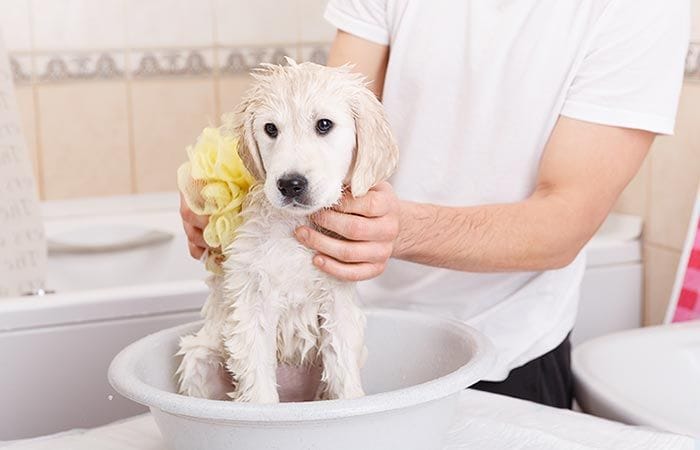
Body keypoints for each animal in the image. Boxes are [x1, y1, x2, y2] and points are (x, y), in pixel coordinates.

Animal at [175, 60, 400, 404]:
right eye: (271, 129)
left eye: (324, 125)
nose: (290, 184)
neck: (295, 226)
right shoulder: (252, 303)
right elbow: (258, 385)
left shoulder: (338, 302)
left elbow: (344, 372)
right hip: (200, 358)